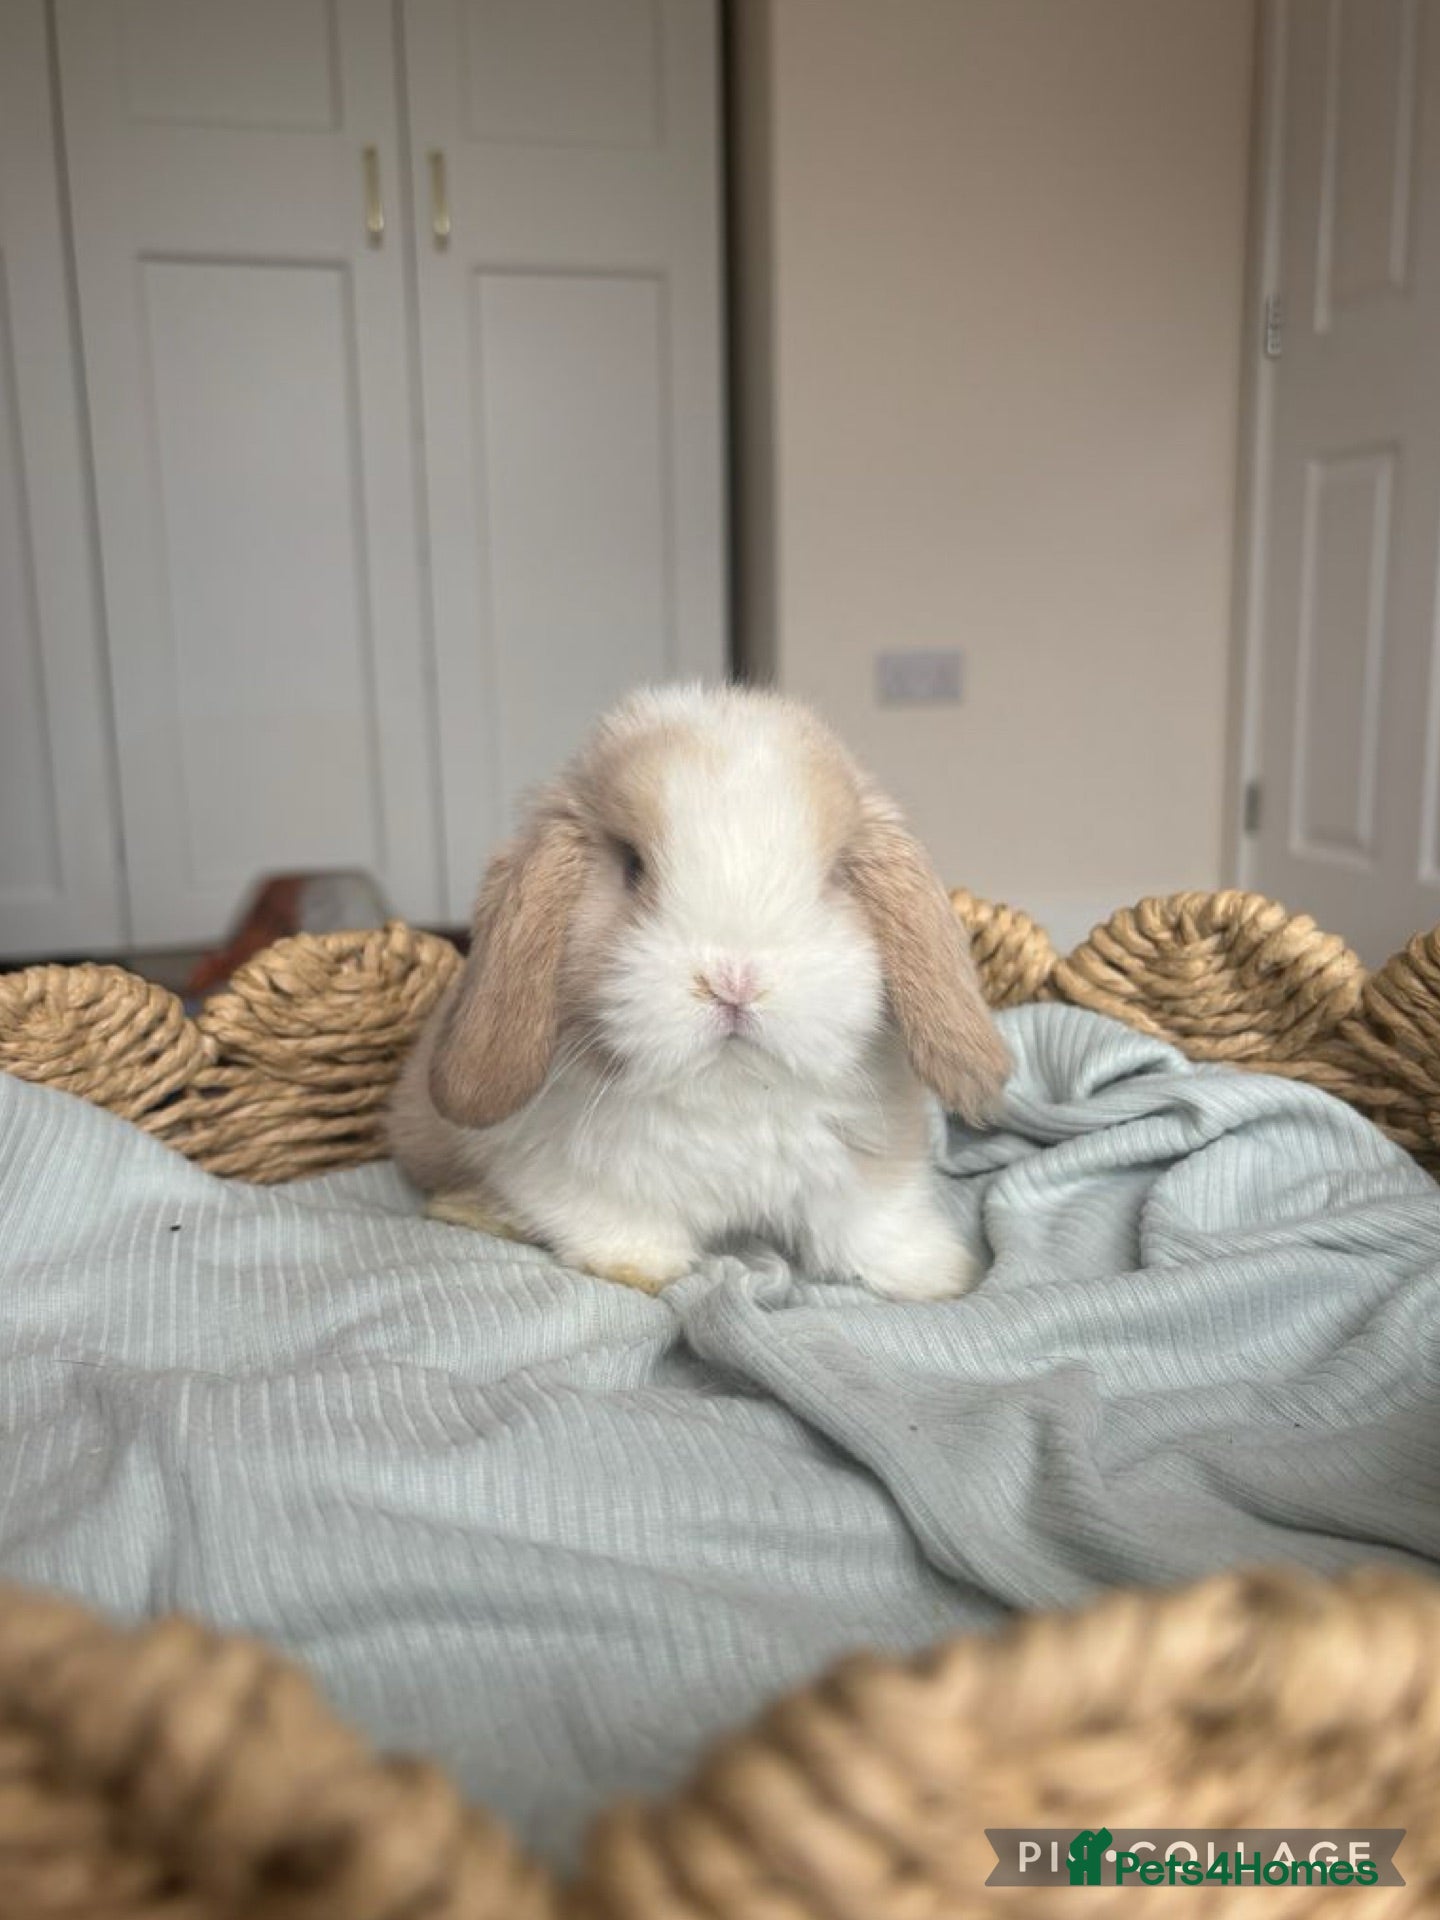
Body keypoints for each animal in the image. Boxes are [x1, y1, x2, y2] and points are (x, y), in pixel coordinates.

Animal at [388, 684, 1011, 1300]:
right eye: (632, 866)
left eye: (834, 877)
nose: (734, 981)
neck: (730, 1089)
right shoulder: (567, 1174)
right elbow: (612, 1222)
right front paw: (636, 1266)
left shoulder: (867, 1168)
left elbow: (875, 1222)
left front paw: (939, 1277)